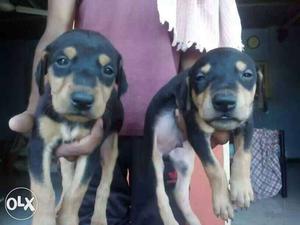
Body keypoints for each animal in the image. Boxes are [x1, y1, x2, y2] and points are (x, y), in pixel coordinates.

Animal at [27, 29, 127, 225]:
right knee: (66, 184)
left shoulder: (90, 151)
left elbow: (77, 192)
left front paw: (68, 220)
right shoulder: (38, 146)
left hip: (110, 148)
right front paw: (45, 220)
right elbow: (44, 191)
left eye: (108, 70)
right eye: (62, 61)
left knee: (103, 187)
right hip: (66, 159)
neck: (70, 121)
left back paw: (99, 219)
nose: (82, 100)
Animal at [142, 47, 262, 225]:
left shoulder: (246, 122)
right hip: (154, 155)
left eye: (247, 74)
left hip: (185, 161)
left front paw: (241, 190)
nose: (224, 102)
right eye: (200, 77)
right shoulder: (196, 131)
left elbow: (243, 154)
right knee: (160, 194)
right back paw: (170, 220)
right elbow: (215, 168)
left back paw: (193, 220)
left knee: (179, 193)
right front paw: (223, 203)